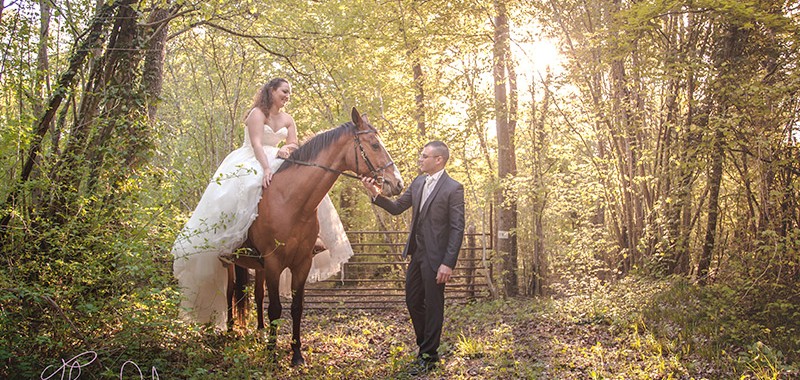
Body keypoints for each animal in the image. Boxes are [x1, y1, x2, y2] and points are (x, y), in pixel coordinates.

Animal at [223, 107, 404, 366]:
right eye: (375, 145)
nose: (397, 183)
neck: (289, 201)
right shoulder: (274, 264)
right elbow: (275, 308)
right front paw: (272, 354)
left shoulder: (302, 263)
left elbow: (297, 307)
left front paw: (296, 354)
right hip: (229, 261)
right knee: (228, 293)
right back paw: (229, 331)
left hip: (258, 267)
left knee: (256, 296)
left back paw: (259, 333)